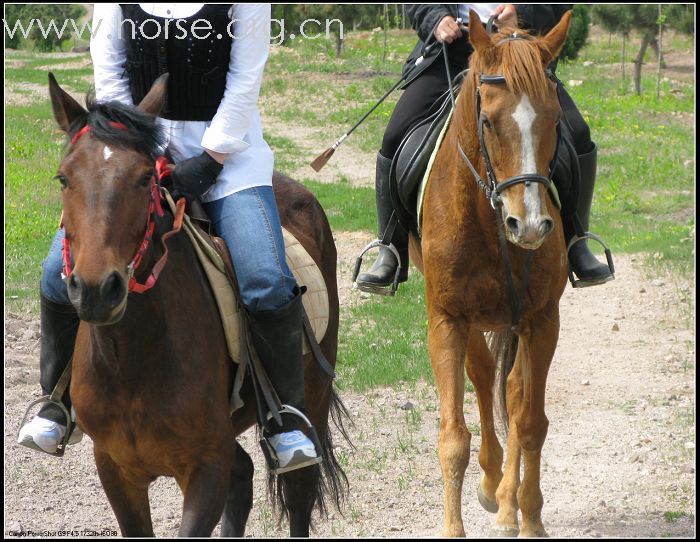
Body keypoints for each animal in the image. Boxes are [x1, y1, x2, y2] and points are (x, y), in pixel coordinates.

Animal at [46, 73, 348, 540]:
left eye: (143, 179)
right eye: (64, 178)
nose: (98, 289)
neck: (135, 359)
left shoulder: (206, 465)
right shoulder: (115, 468)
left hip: (311, 397)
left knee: (300, 490)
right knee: (244, 478)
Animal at [410, 9, 576, 540]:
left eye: (555, 119)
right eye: (487, 120)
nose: (529, 225)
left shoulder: (542, 320)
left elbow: (530, 420)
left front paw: (529, 519)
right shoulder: (446, 319)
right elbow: (452, 437)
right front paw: (455, 526)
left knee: (514, 392)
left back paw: (506, 505)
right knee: (484, 377)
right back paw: (491, 482)